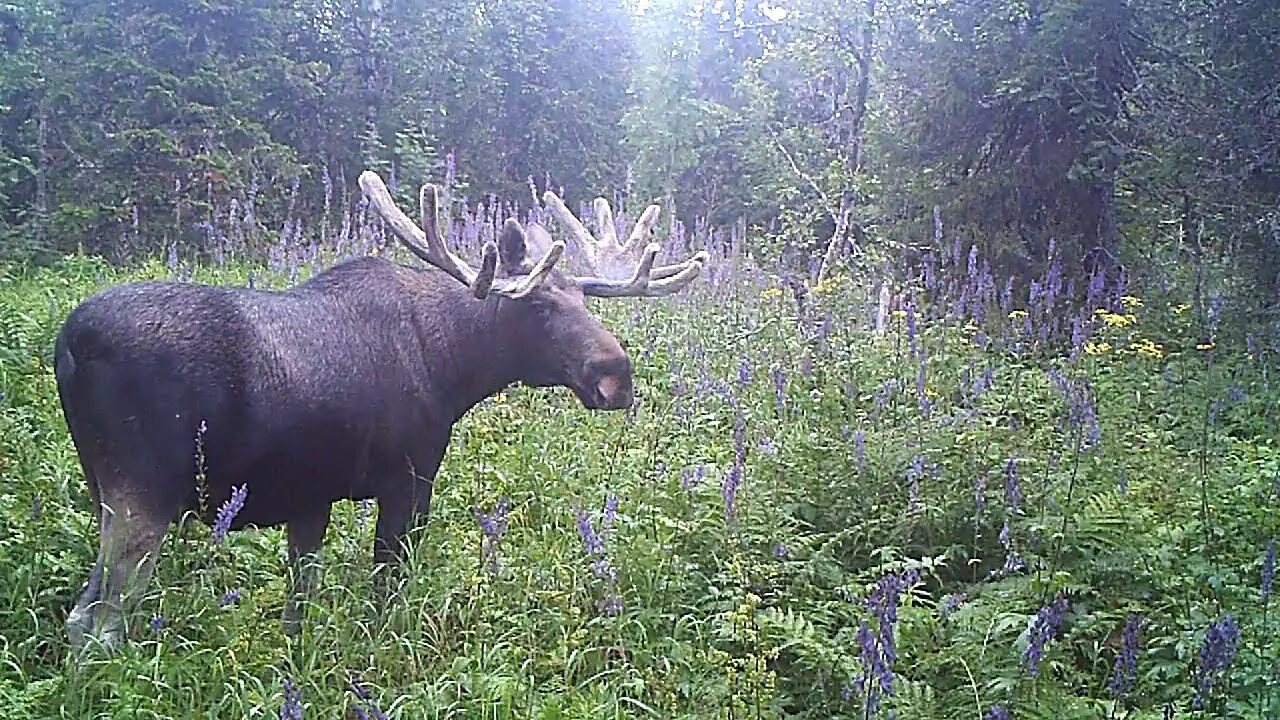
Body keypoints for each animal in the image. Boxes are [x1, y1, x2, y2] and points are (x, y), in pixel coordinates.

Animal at [55, 167, 706, 650]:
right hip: (142, 493)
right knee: (93, 621)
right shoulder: (409, 479)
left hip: (107, 492)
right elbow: (386, 593)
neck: (453, 367)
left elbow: (297, 607)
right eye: (541, 305)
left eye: (582, 299)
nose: (616, 377)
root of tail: (69, 343)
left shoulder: (309, 498)